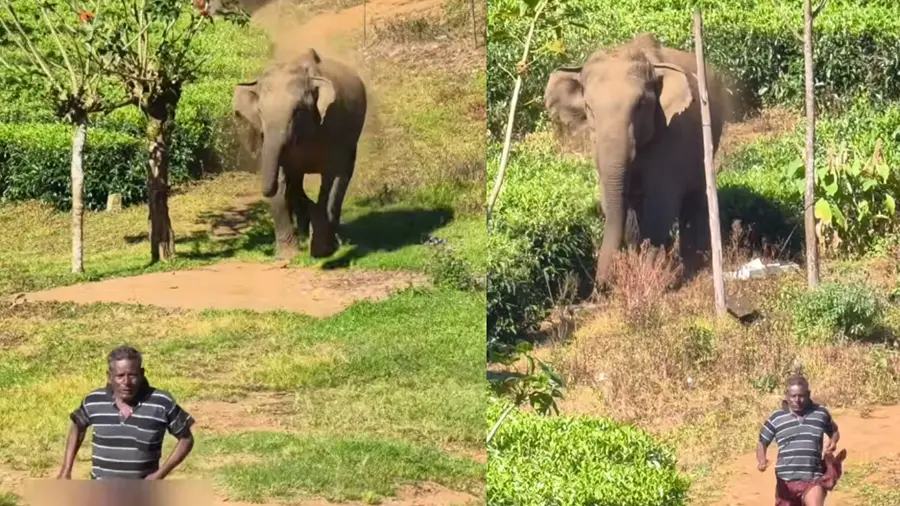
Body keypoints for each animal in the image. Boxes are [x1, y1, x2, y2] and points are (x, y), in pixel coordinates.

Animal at [232, 48, 367, 259]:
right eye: (260, 112)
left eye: (298, 111)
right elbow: (282, 183)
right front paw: (287, 255)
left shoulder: (334, 124)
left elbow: (330, 178)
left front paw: (322, 249)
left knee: (342, 176)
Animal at [543, 32, 730, 287]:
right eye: (589, 107)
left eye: (641, 105)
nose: (600, 284)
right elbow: (620, 202)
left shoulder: (674, 133)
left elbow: (661, 203)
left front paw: (650, 277)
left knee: (695, 198)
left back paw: (696, 262)